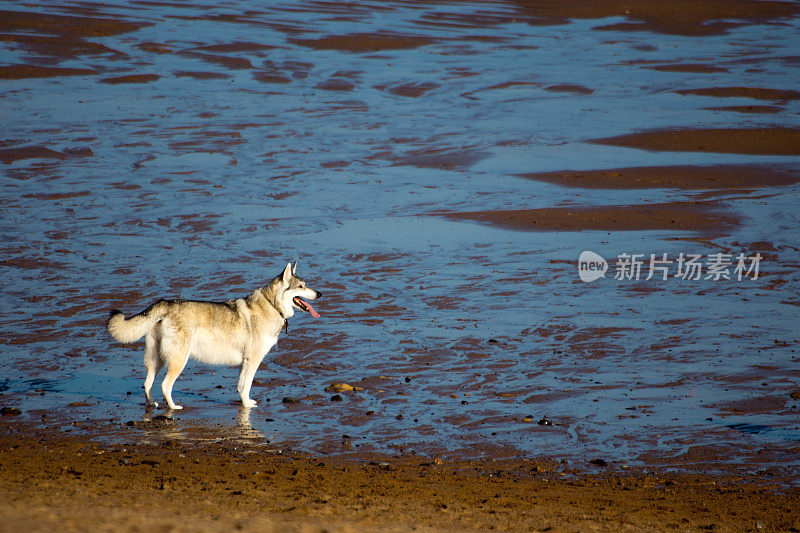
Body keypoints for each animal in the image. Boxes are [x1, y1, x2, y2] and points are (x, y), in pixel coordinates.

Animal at [106, 260, 318, 408]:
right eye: (301, 286)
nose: (320, 294)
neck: (272, 306)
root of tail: (166, 303)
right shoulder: (253, 360)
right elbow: (247, 385)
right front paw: (247, 405)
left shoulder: (245, 362)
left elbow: (241, 386)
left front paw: (244, 402)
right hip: (178, 361)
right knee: (165, 385)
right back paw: (174, 407)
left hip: (155, 361)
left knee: (147, 384)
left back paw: (152, 405)